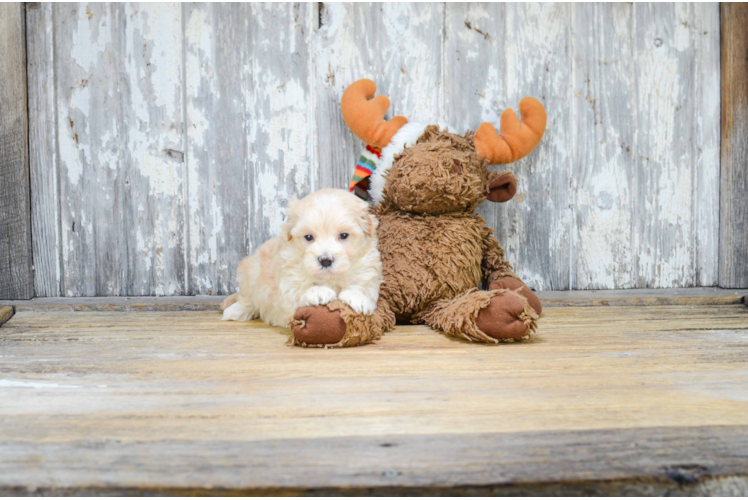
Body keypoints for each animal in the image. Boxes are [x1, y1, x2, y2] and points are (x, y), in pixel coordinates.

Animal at [218, 188, 380, 328]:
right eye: (308, 237)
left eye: (344, 235)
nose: (325, 260)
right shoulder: (288, 279)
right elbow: (298, 290)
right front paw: (317, 291)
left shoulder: (367, 269)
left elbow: (364, 286)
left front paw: (357, 296)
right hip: (251, 271)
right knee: (248, 299)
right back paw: (235, 311)